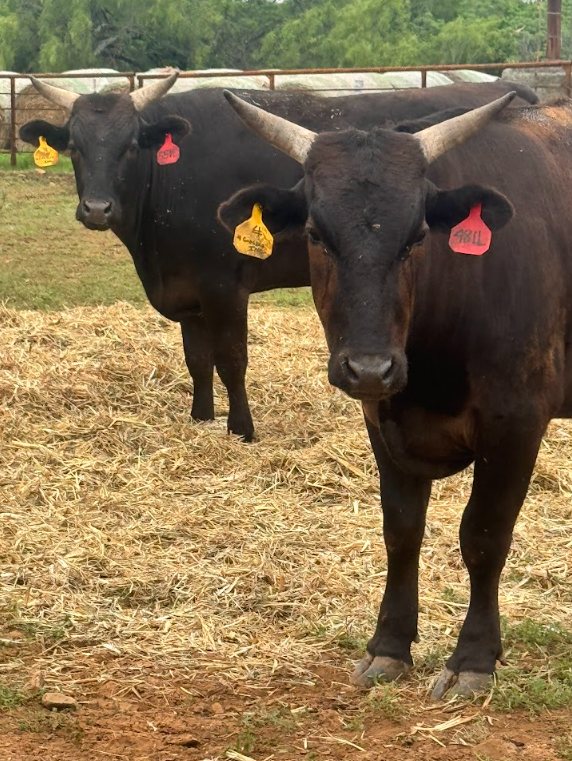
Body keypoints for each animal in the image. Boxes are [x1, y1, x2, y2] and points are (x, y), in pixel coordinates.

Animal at [19, 74, 537, 441]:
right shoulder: (188, 293)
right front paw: (200, 418)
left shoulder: (224, 287)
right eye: (75, 147)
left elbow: (231, 359)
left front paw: (241, 430)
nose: (97, 209)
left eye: (129, 146)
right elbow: (197, 359)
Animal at [217, 91, 572, 698]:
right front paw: (389, 645)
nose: (368, 366)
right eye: (315, 234)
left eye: (418, 237)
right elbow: (401, 531)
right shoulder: (382, 418)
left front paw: (473, 658)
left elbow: (484, 536)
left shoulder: (517, 422)